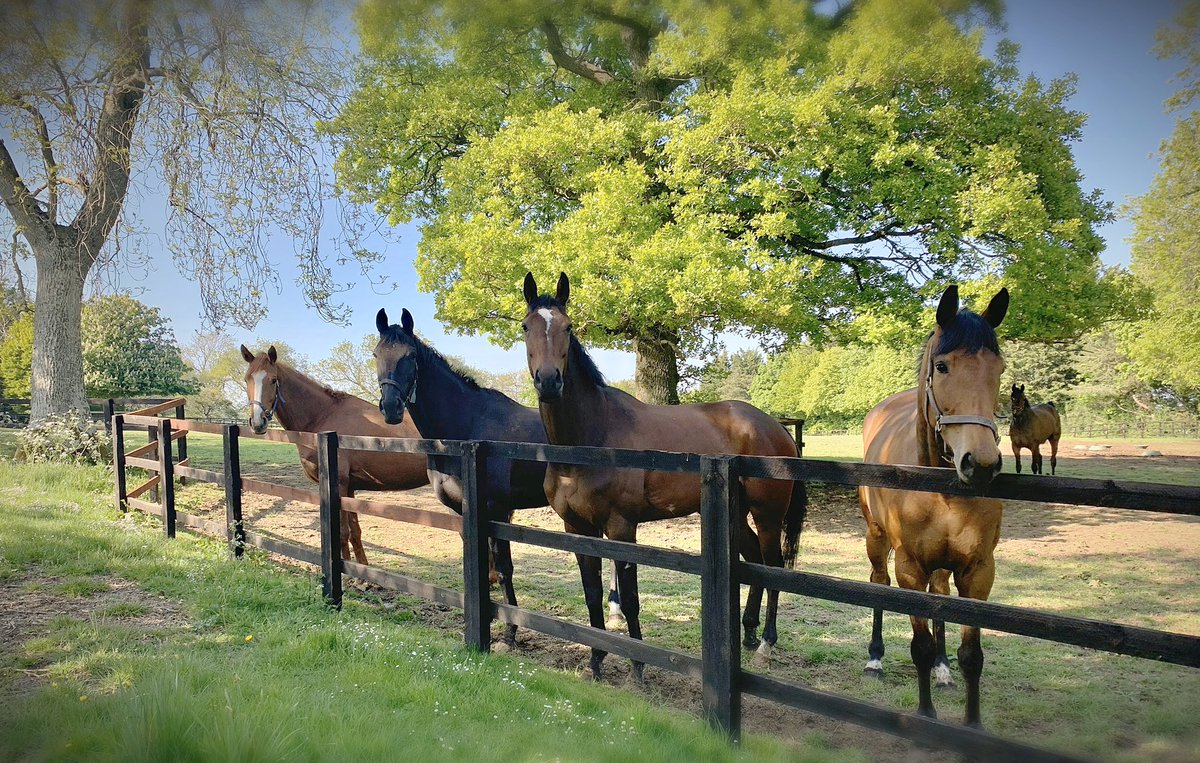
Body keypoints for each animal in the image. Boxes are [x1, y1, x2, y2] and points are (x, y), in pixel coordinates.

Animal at [236, 347, 429, 563]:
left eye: (273, 380)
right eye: (247, 378)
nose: (257, 422)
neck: (321, 417)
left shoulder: (339, 485)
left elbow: (342, 533)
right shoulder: (350, 488)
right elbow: (355, 533)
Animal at [523, 272, 806, 681]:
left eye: (568, 326)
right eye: (526, 326)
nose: (549, 381)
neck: (591, 439)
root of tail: (775, 427)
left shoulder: (621, 527)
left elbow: (630, 599)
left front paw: (637, 663)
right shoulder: (577, 528)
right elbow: (592, 595)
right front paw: (596, 661)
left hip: (768, 514)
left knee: (773, 566)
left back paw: (766, 642)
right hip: (736, 516)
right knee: (752, 559)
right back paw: (749, 632)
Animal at [859, 284, 1008, 729]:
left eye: (999, 369)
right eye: (942, 367)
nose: (982, 464)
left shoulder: (979, 571)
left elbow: (972, 655)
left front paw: (973, 724)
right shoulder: (910, 568)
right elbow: (919, 646)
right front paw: (925, 715)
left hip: (943, 566)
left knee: (940, 592)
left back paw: (943, 670)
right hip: (876, 539)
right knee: (877, 583)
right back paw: (875, 659)